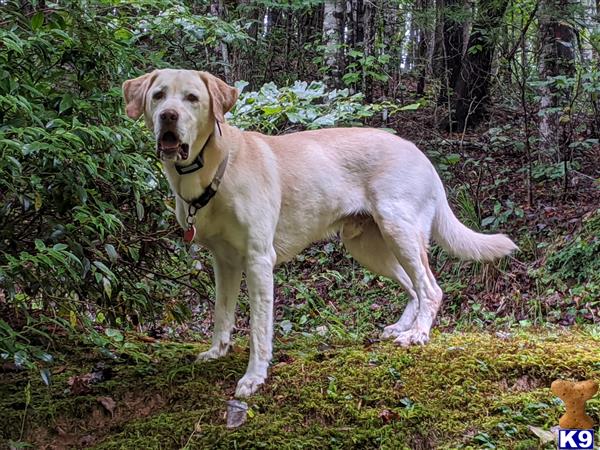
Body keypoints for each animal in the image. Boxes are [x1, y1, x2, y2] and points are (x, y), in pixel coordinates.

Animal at [122, 68, 516, 396]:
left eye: (192, 98)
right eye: (158, 95)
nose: (168, 116)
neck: (215, 167)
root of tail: (422, 156)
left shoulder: (258, 261)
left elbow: (259, 328)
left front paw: (254, 377)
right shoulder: (225, 262)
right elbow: (222, 314)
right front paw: (217, 352)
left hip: (399, 231)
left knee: (430, 289)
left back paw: (417, 334)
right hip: (368, 246)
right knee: (412, 286)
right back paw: (402, 327)